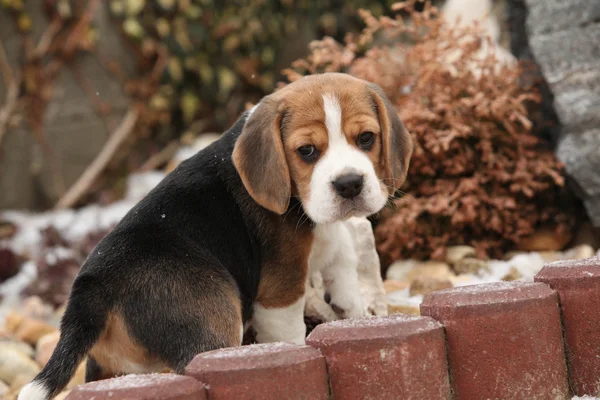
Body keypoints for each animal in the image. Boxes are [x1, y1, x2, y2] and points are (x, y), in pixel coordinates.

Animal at [19, 72, 412, 400]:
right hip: (215, 324)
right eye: (307, 151)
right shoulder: (279, 292)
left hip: (109, 367)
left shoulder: (333, 245)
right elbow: (291, 334)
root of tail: (92, 285)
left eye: (366, 138)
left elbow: (345, 276)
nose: (349, 184)